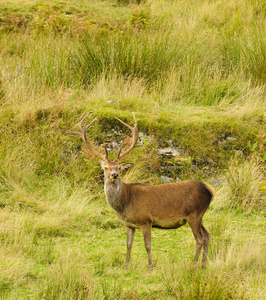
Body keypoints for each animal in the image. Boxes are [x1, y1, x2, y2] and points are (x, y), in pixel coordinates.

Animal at [79, 112, 214, 270]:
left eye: (119, 167)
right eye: (105, 167)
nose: (114, 175)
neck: (124, 203)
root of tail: (210, 189)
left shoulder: (146, 220)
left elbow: (148, 246)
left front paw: (150, 267)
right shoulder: (129, 224)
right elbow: (128, 244)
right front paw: (126, 266)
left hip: (194, 215)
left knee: (200, 239)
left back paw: (193, 264)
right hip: (199, 216)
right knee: (207, 235)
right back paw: (203, 265)